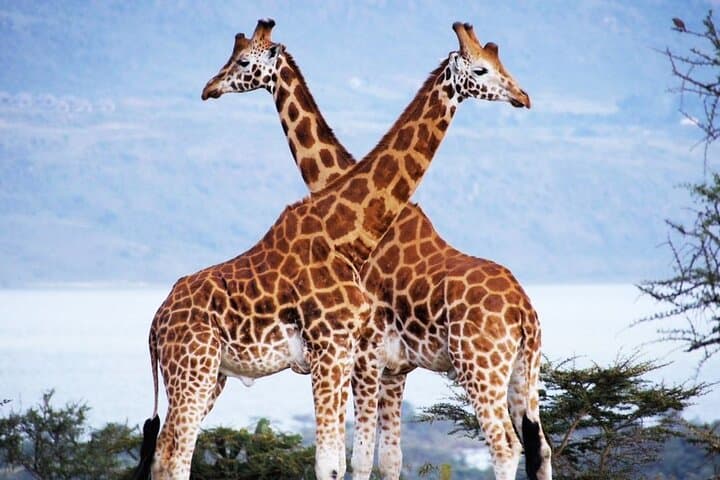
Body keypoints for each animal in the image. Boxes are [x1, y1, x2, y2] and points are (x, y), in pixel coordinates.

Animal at [138, 19, 534, 480]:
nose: (523, 96)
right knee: (173, 450)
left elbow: (354, 460)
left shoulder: (354, 354)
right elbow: (346, 461)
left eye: (241, 62)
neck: (346, 230)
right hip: (195, 369)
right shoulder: (348, 353)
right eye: (482, 70)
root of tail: (156, 320)